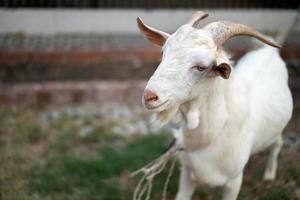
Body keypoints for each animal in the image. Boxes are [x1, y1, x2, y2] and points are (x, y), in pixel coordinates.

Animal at [138, 11, 292, 200]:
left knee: (277, 143)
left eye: (201, 67)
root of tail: (268, 52)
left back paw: (269, 175)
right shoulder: (187, 173)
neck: (214, 134)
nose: (149, 96)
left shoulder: (234, 181)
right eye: (163, 53)